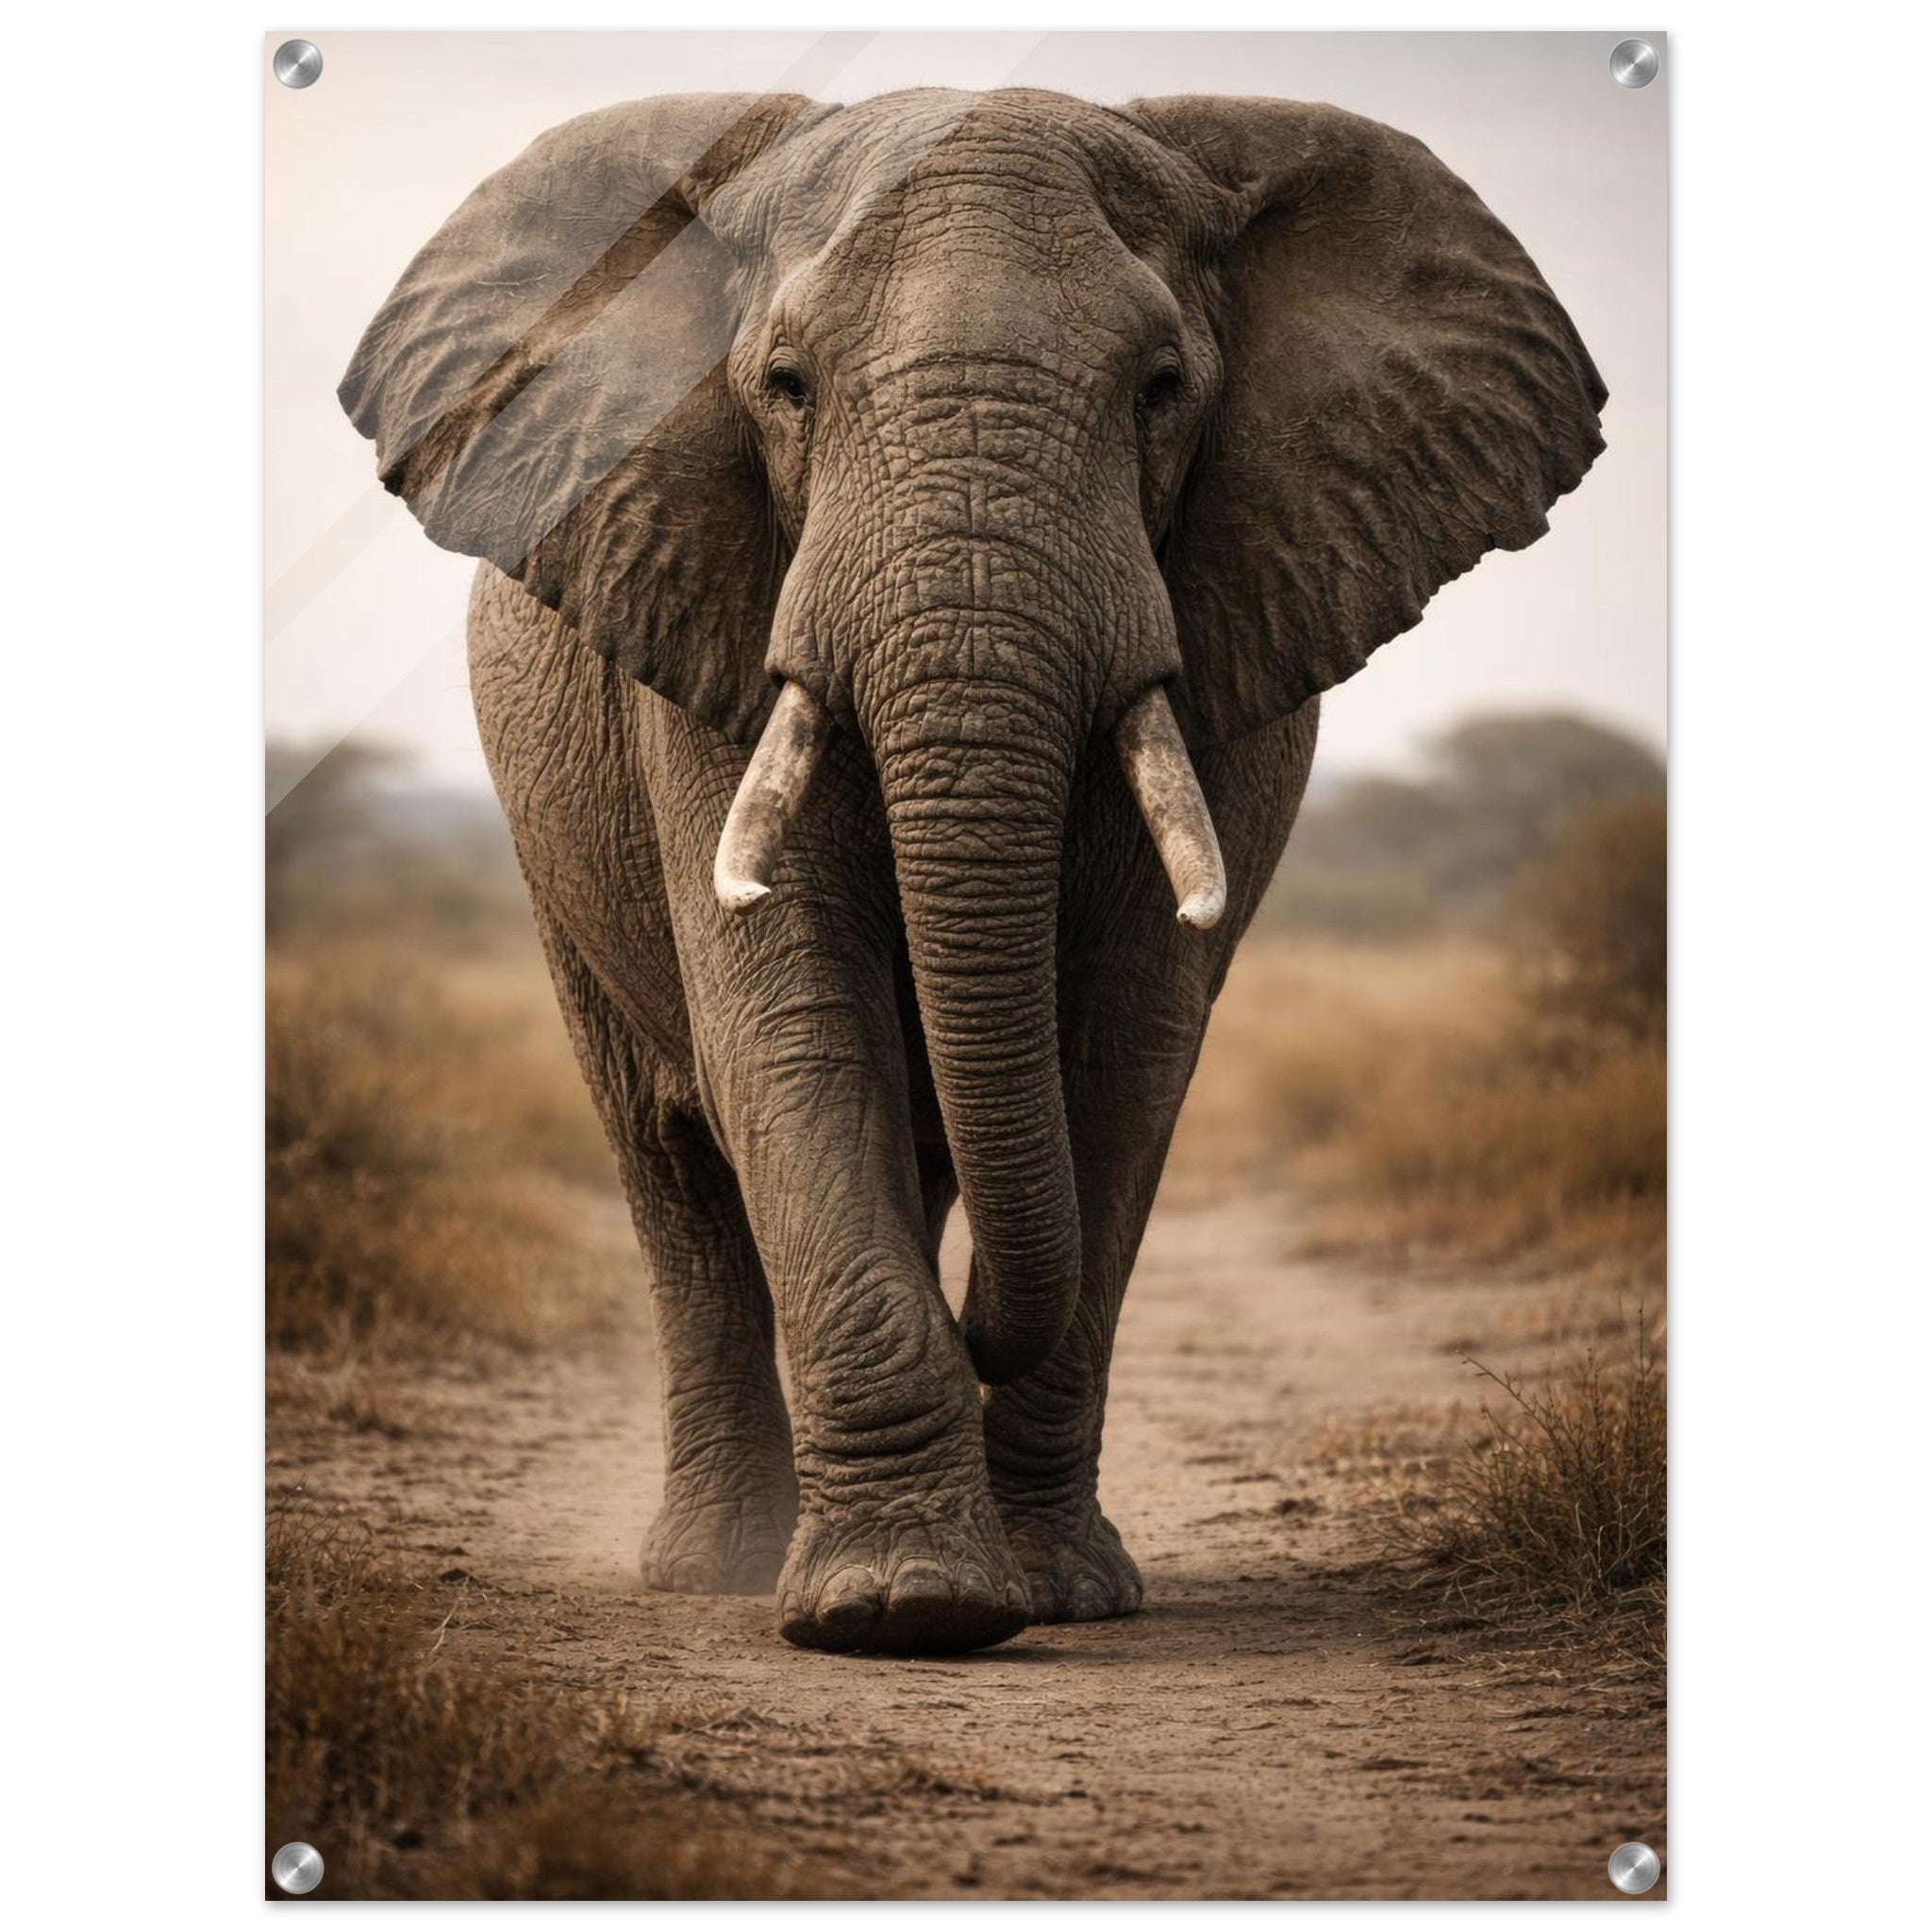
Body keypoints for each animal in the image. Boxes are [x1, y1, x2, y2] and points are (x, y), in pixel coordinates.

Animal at [340, 86, 1604, 1655]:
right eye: (786, 384)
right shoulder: (708, 624)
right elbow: (792, 1023)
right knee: (670, 1162)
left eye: (1162, 388)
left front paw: (1054, 1595)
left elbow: (1126, 1056)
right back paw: (718, 1568)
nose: (980, 1319)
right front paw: (903, 1609)